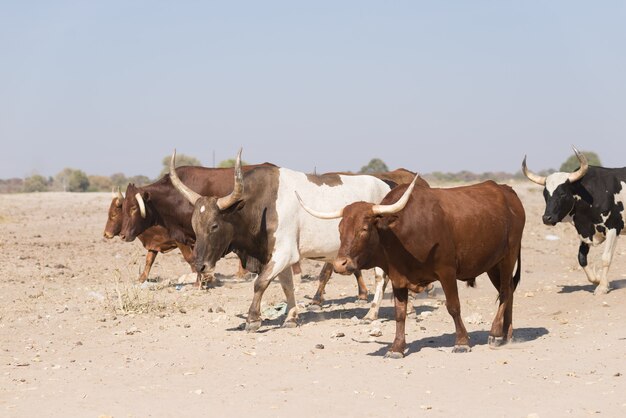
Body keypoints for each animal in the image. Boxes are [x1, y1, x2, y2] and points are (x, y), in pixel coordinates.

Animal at [296, 175, 520, 358]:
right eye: (340, 228)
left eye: (364, 228)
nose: (340, 264)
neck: (402, 231)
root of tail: (507, 191)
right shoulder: (398, 277)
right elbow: (400, 313)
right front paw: (397, 348)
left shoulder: (446, 272)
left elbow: (453, 307)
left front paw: (462, 342)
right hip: (493, 264)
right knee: (508, 290)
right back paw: (506, 333)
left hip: (508, 257)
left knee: (505, 291)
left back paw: (495, 333)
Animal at [520, 147, 624, 294]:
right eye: (545, 194)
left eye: (562, 193)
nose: (547, 218)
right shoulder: (584, 230)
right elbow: (581, 258)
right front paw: (598, 280)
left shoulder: (613, 228)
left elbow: (606, 257)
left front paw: (602, 287)